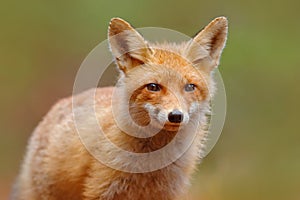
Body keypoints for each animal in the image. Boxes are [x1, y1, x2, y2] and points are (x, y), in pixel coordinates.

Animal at [11, 16, 227, 199]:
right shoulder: (103, 189)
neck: (153, 164)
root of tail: (59, 104)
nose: (175, 116)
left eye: (190, 87)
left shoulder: (168, 192)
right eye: (153, 87)